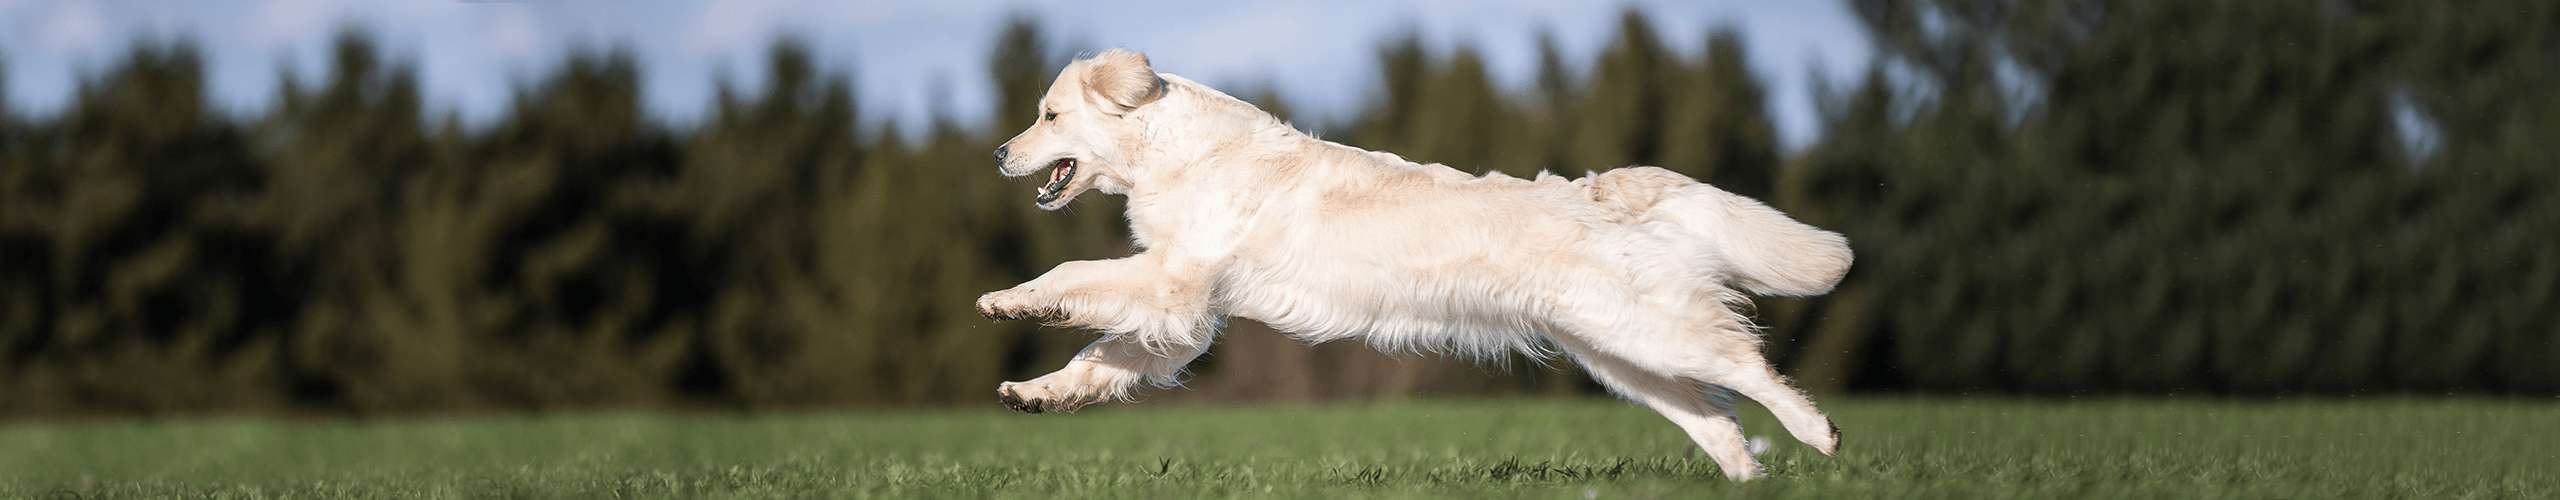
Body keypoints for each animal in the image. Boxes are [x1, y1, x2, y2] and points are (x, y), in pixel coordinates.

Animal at [972, 48, 1843, 479]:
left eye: (1049, 114)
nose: (999, 153)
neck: (1175, 151)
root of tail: (1592, 189)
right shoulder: (1185, 315)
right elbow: (1097, 359)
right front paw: (1032, 393)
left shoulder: (1173, 281)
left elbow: (1074, 280)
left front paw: (1012, 302)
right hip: (1620, 356)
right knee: (1717, 416)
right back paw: (1749, 475)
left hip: (1648, 332)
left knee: (1748, 368)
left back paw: (1821, 434)